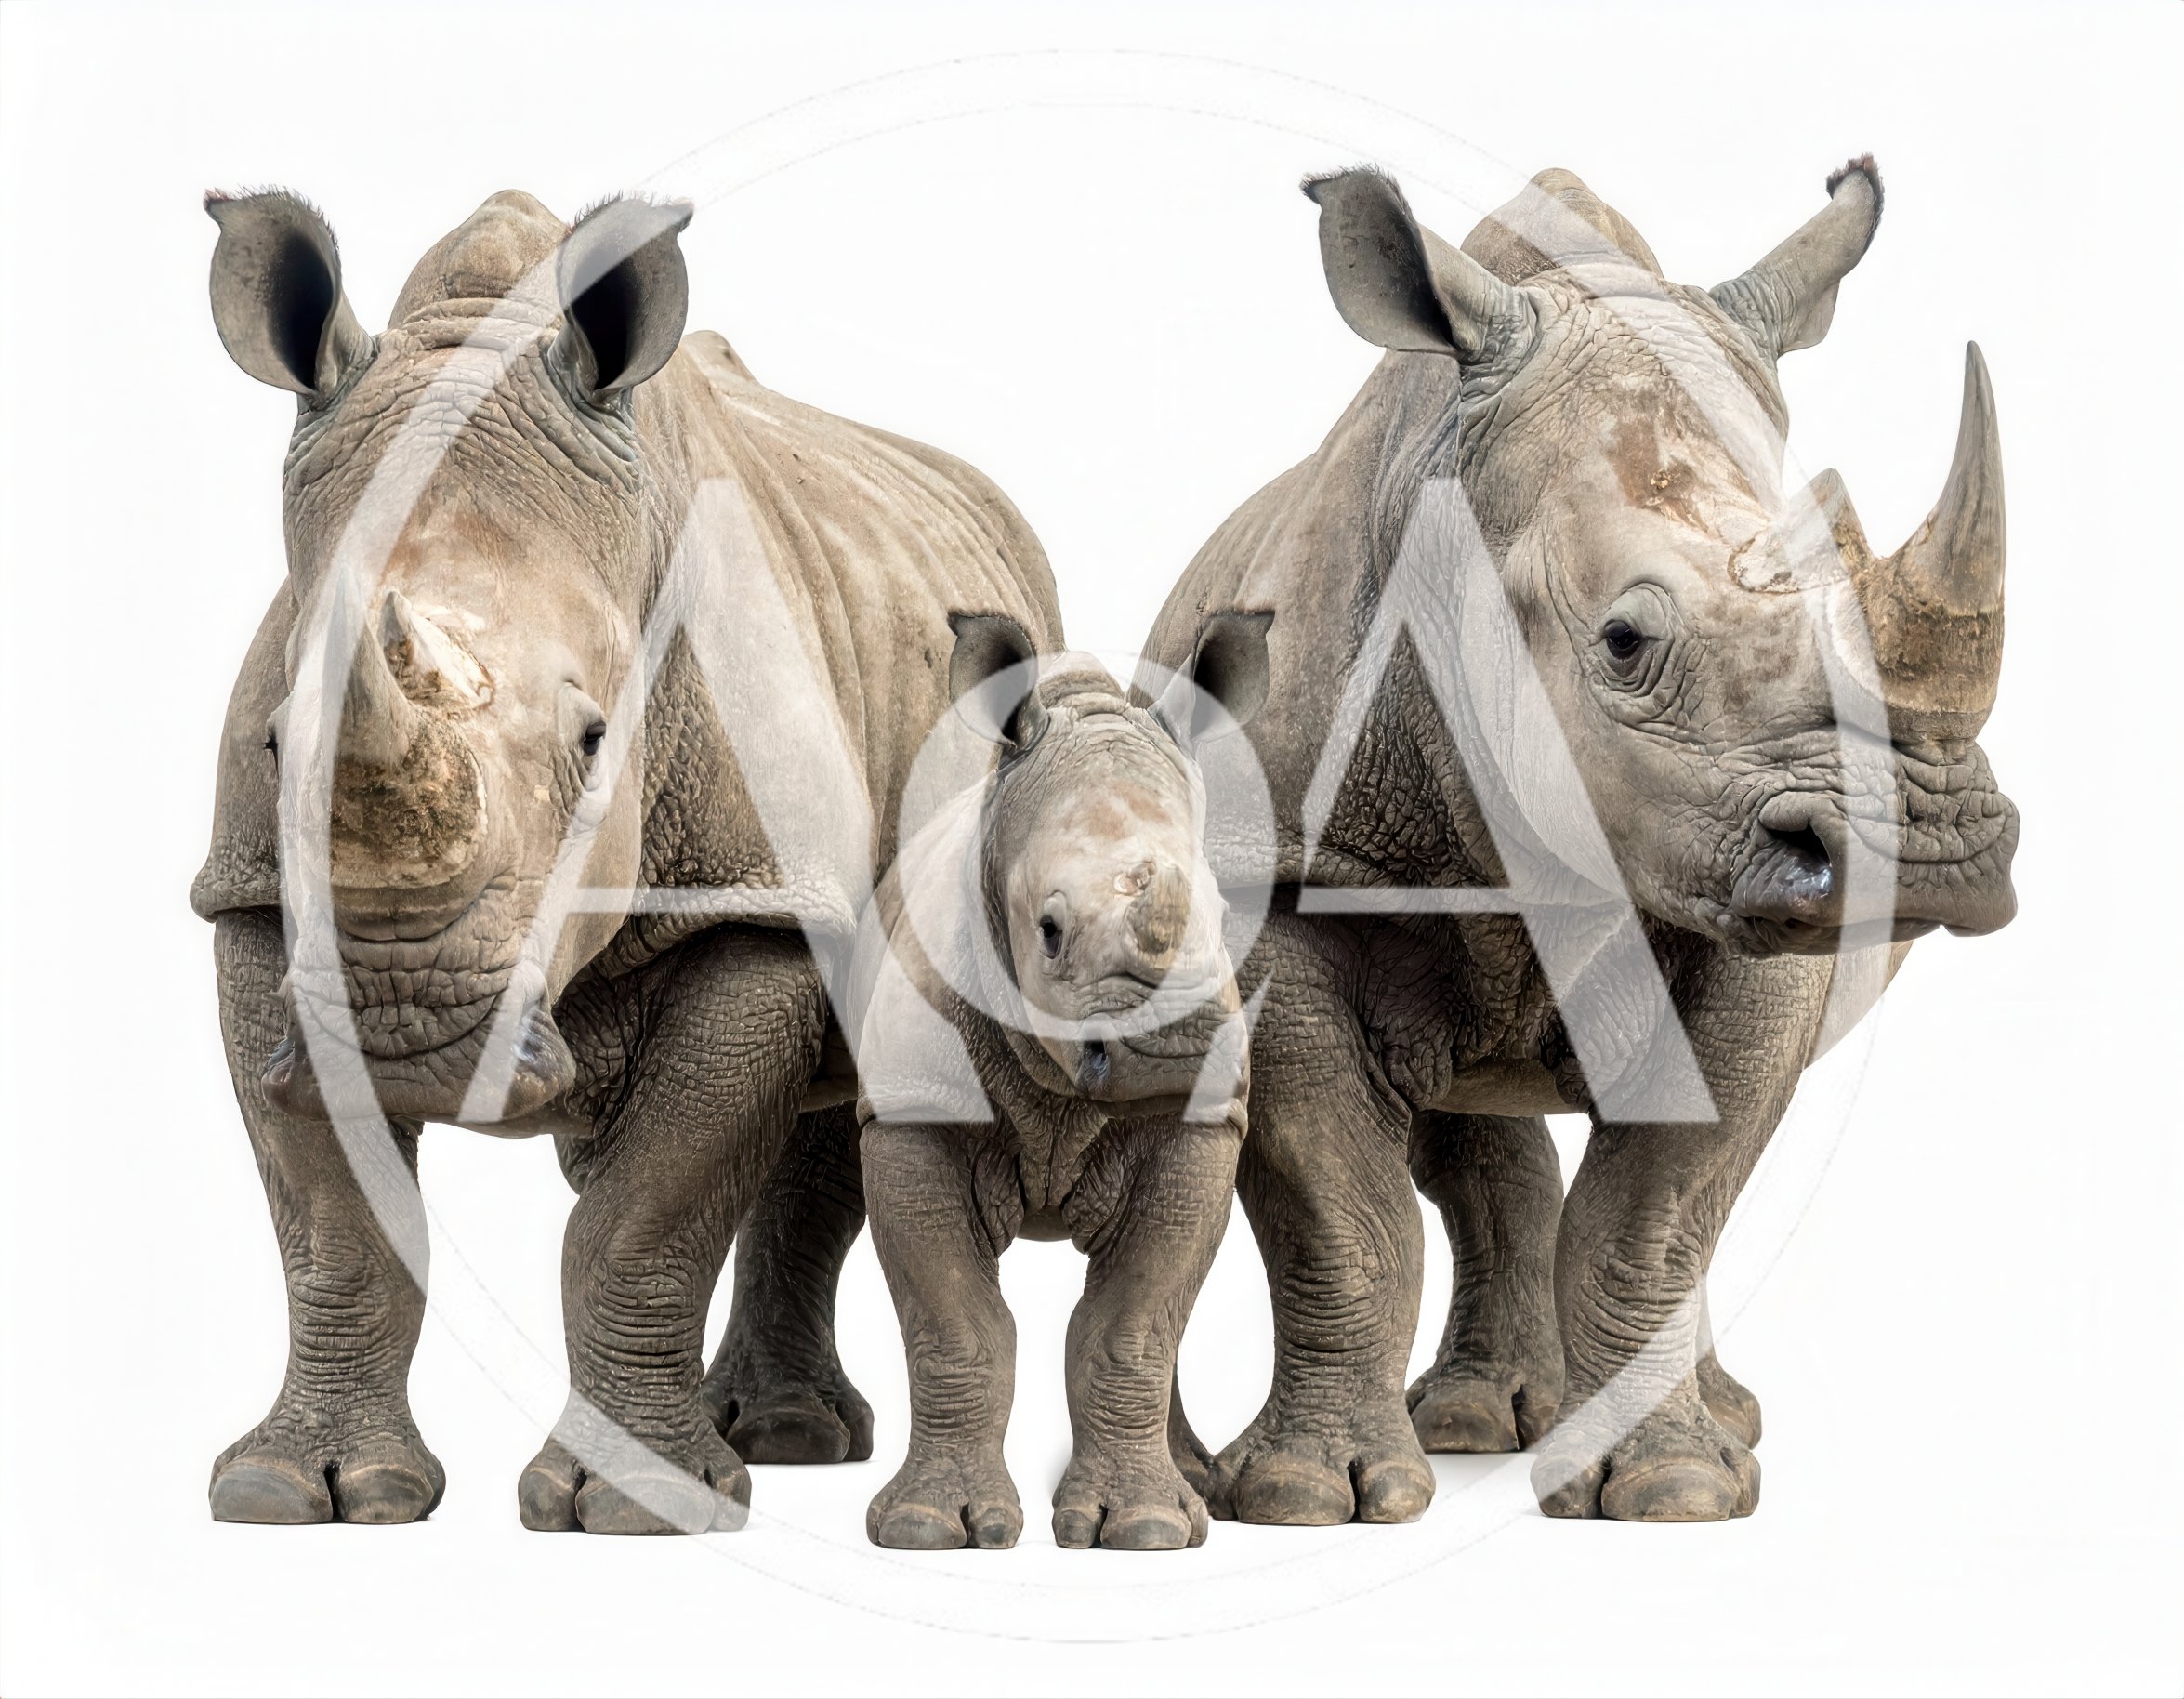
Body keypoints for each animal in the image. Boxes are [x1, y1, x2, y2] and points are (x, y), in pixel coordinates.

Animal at [195, 187, 1059, 1532]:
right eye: (280, 742)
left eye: (596, 741)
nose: (405, 1034)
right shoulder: (248, 905)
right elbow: (334, 1226)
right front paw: (297, 1492)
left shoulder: (750, 902)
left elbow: (642, 1217)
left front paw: (640, 1510)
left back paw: (785, 1444)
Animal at [850, 614, 1269, 1550]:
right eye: (1048, 930)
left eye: (1226, 916)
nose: (1174, 1049)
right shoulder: (910, 1112)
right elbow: (955, 1327)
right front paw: (930, 1528)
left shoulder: (1203, 1125)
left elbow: (1132, 1326)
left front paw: (1143, 1529)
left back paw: (1194, 1491)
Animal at [1140, 158, 2016, 1522]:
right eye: (1623, 642)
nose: (1919, 847)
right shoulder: (1274, 883)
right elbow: (1345, 1213)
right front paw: (1306, 1496)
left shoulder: (1745, 903)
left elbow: (1656, 1209)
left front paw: (1676, 1492)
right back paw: (1481, 1425)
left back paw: (1701, 1428)